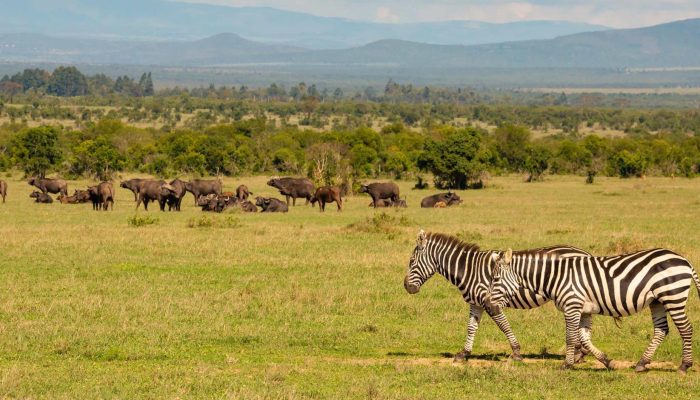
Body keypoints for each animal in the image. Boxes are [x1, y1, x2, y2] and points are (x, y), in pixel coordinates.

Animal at [404, 228, 592, 362]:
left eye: (411, 261)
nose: (406, 287)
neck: (469, 269)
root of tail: (585, 253)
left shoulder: (490, 302)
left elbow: (504, 325)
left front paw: (516, 352)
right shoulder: (475, 303)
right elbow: (471, 327)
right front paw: (464, 353)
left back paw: (578, 354)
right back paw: (579, 353)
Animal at [484, 247, 700, 372]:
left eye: (496, 279)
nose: (488, 306)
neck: (556, 276)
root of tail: (684, 260)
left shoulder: (572, 306)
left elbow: (571, 337)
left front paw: (567, 364)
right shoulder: (584, 310)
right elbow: (585, 338)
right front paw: (607, 362)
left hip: (673, 296)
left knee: (685, 329)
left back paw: (684, 365)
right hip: (657, 301)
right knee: (661, 330)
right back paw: (641, 364)